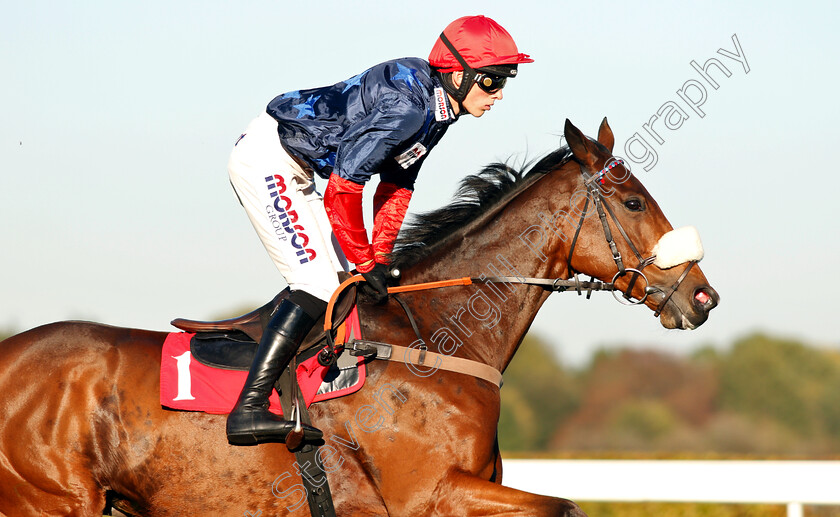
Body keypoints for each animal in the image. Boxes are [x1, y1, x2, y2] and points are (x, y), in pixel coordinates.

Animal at [0, 118, 720, 516]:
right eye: (633, 201)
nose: (702, 296)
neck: (432, 339)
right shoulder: (429, 495)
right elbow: (568, 506)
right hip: (52, 498)